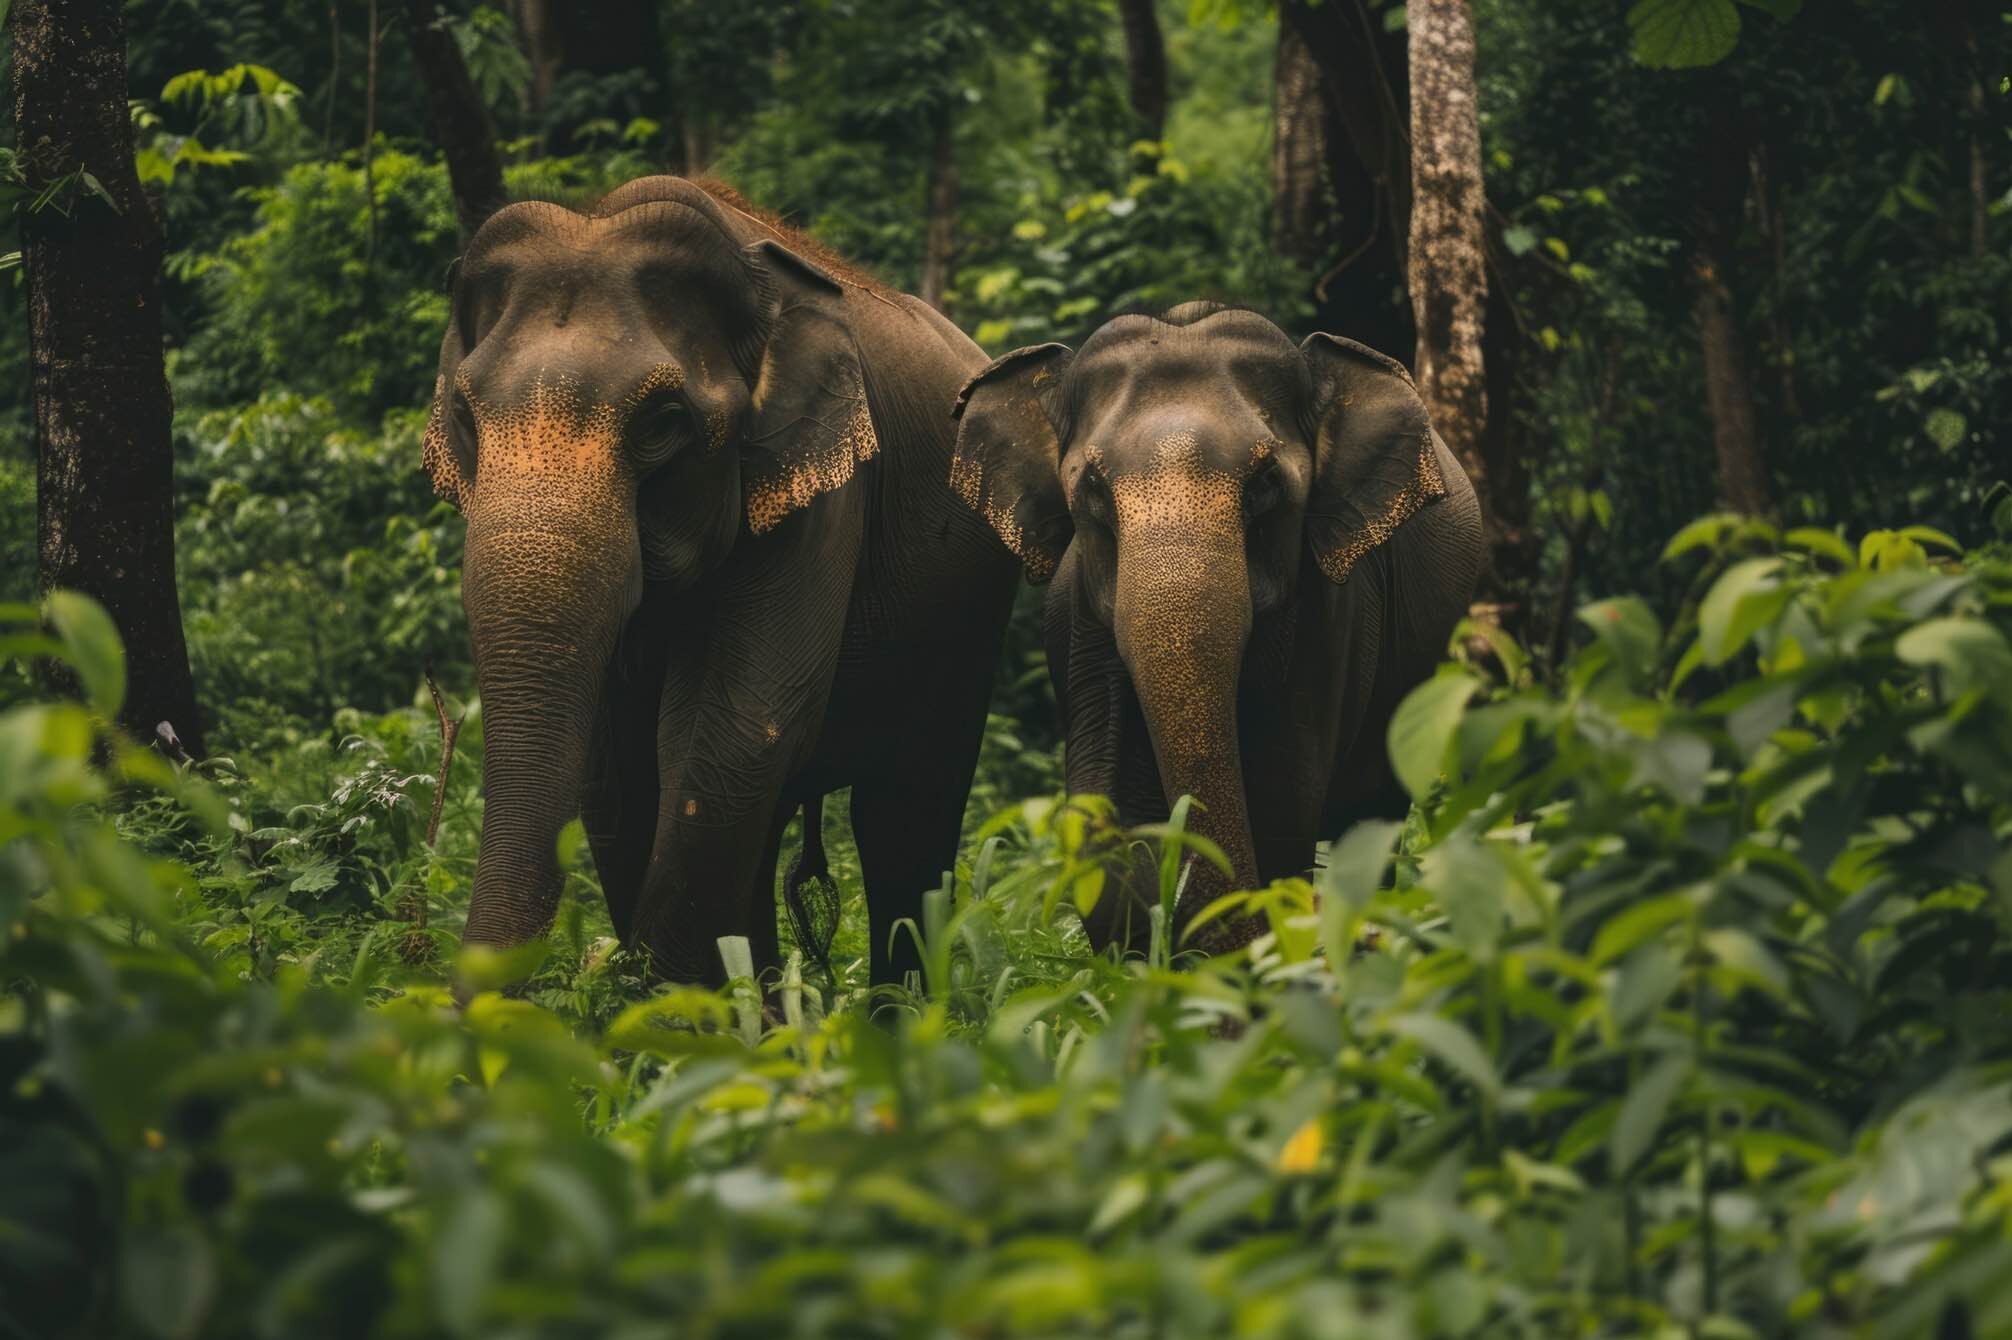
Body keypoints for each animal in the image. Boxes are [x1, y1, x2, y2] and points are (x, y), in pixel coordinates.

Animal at [424, 177, 1022, 981]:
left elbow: (737, 729)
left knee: (905, 814)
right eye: (464, 414)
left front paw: (662, 1003)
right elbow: (616, 772)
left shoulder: (822, 488)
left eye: (662, 421)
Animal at [941, 301, 1480, 949]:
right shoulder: (1084, 633)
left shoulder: (1333, 615)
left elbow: (1282, 801)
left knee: (1373, 818)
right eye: (1092, 487)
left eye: (1267, 481)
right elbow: (1111, 828)